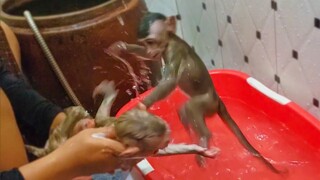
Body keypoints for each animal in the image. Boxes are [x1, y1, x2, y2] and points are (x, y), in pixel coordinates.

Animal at [25, 79, 220, 161]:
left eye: (154, 118)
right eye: (147, 137)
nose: (167, 131)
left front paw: (202, 151)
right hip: (55, 143)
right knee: (61, 138)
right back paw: (74, 114)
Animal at [106, 12, 284, 173]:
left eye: (151, 41)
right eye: (144, 43)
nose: (150, 50)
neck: (170, 40)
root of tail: (217, 98)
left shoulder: (175, 51)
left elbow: (170, 81)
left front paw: (142, 106)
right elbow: (148, 57)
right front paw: (122, 47)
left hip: (207, 102)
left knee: (192, 107)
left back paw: (204, 138)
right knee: (184, 111)